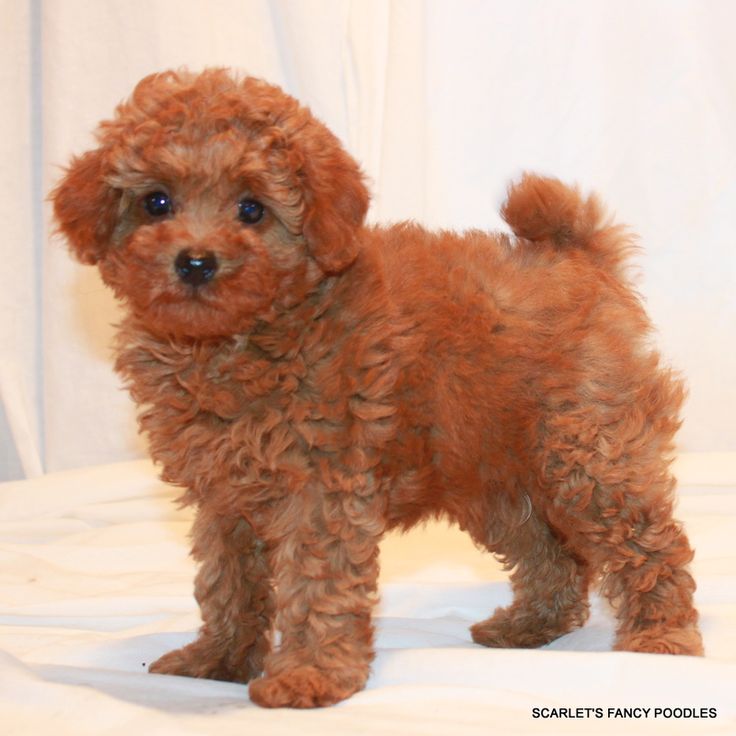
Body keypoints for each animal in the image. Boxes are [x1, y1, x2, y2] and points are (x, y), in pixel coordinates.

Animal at [51, 67, 700, 708]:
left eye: (252, 209)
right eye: (156, 202)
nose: (195, 261)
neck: (239, 339)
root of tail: (577, 256)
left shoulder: (323, 485)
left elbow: (317, 583)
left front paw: (308, 676)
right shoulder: (224, 496)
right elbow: (227, 580)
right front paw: (219, 660)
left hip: (587, 453)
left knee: (648, 542)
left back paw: (661, 640)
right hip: (493, 472)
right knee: (550, 554)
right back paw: (530, 626)